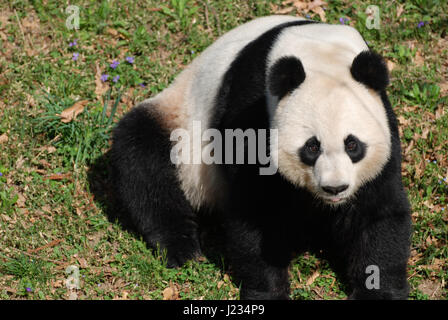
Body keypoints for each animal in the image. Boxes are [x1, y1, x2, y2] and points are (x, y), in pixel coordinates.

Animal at [110, 15, 412, 300]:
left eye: (352, 145)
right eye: (311, 147)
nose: (335, 188)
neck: (320, 54)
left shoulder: (383, 122)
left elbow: (379, 212)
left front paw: (377, 290)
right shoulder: (252, 107)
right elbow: (255, 210)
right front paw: (269, 291)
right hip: (179, 124)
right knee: (141, 155)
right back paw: (181, 246)